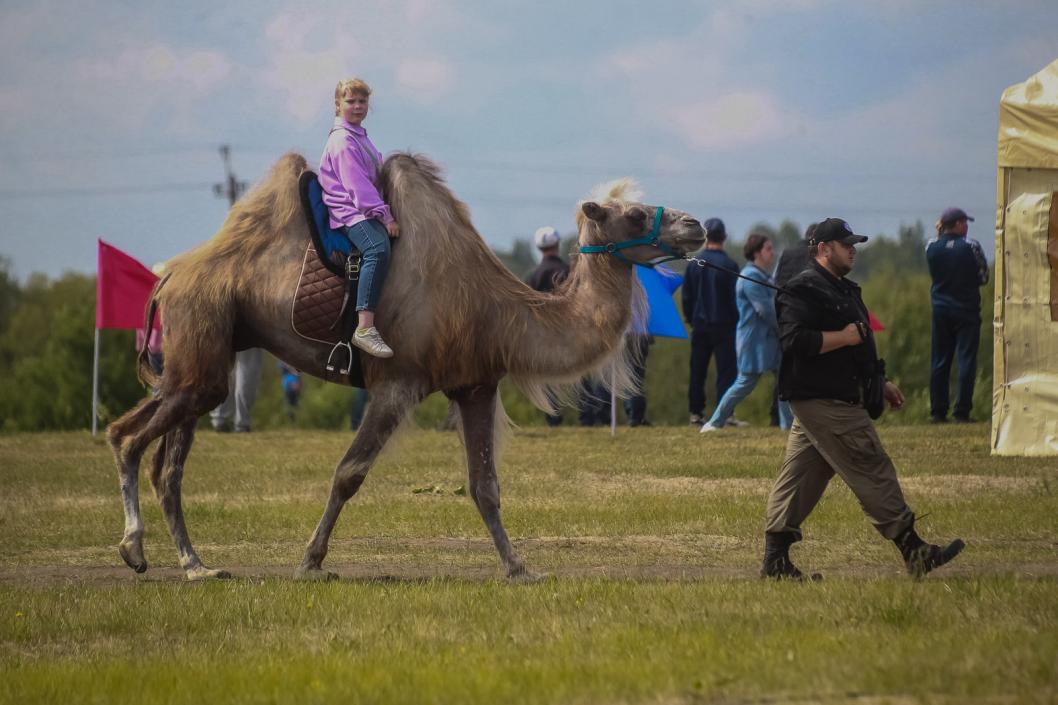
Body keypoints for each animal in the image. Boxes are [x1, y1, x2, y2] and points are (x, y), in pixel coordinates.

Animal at [107, 151, 706, 580]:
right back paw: (135, 549)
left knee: (167, 465)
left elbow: (484, 484)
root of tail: (169, 276)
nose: (696, 226)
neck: (497, 311)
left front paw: (519, 568)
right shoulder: (397, 383)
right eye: (634, 214)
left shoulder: (475, 385)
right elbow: (349, 473)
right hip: (199, 345)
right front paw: (310, 563)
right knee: (126, 437)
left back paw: (196, 565)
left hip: (203, 355)